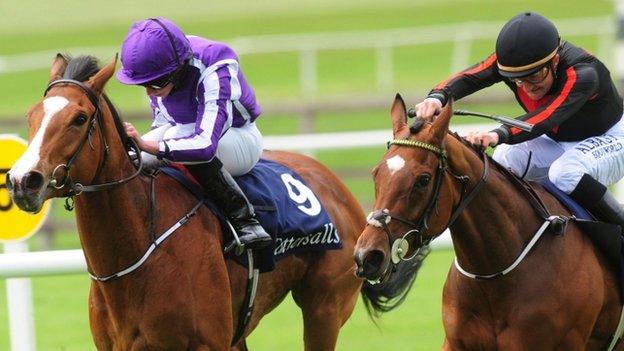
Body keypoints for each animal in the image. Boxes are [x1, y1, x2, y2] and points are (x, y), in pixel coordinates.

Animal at [7, 53, 376, 350]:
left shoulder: (206, 343)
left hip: (325, 308)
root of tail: (334, 182)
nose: (23, 181)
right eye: (31, 115)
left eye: (79, 118)